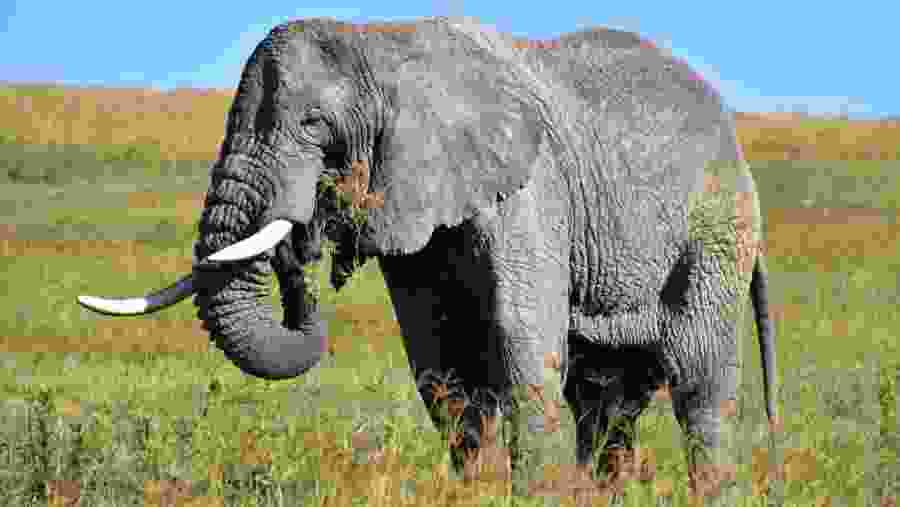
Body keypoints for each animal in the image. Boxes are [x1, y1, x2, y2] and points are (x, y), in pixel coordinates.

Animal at [77, 16, 779, 501]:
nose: (300, 247)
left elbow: (522, 344)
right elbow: (441, 363)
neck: (384, 44)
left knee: (698, 384)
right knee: (608, 402)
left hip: (716, 231)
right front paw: (476, 494)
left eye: (313, 126)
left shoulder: (530, 190)